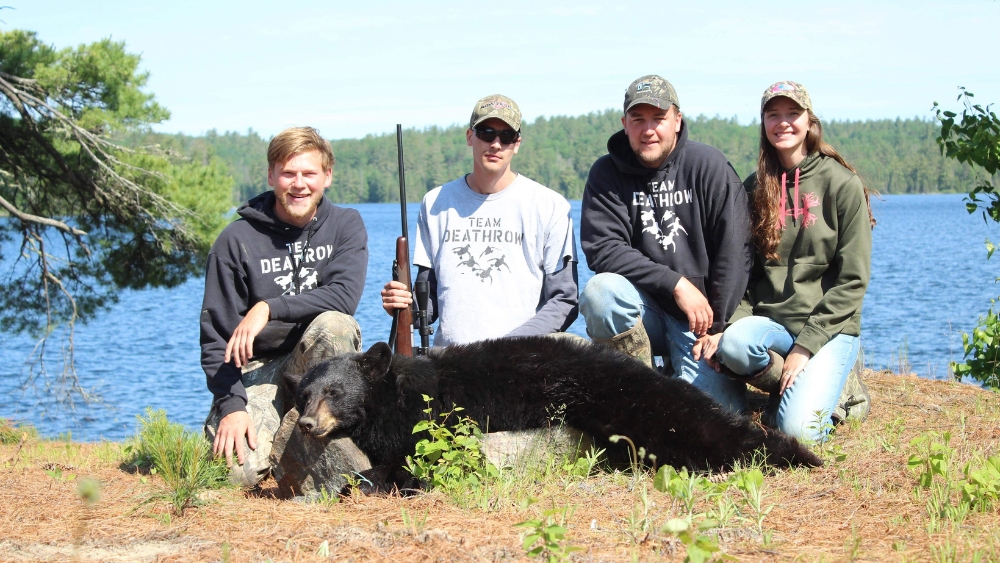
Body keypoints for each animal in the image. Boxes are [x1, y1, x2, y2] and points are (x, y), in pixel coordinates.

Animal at [284, 336, 823, 493]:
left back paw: (796, 455)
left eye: (334, 392)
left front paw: (373, 480)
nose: (308, 424)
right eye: (303, 396)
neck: (393, 395)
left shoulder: (431, 416)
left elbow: (417, 458)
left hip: (626, 401)